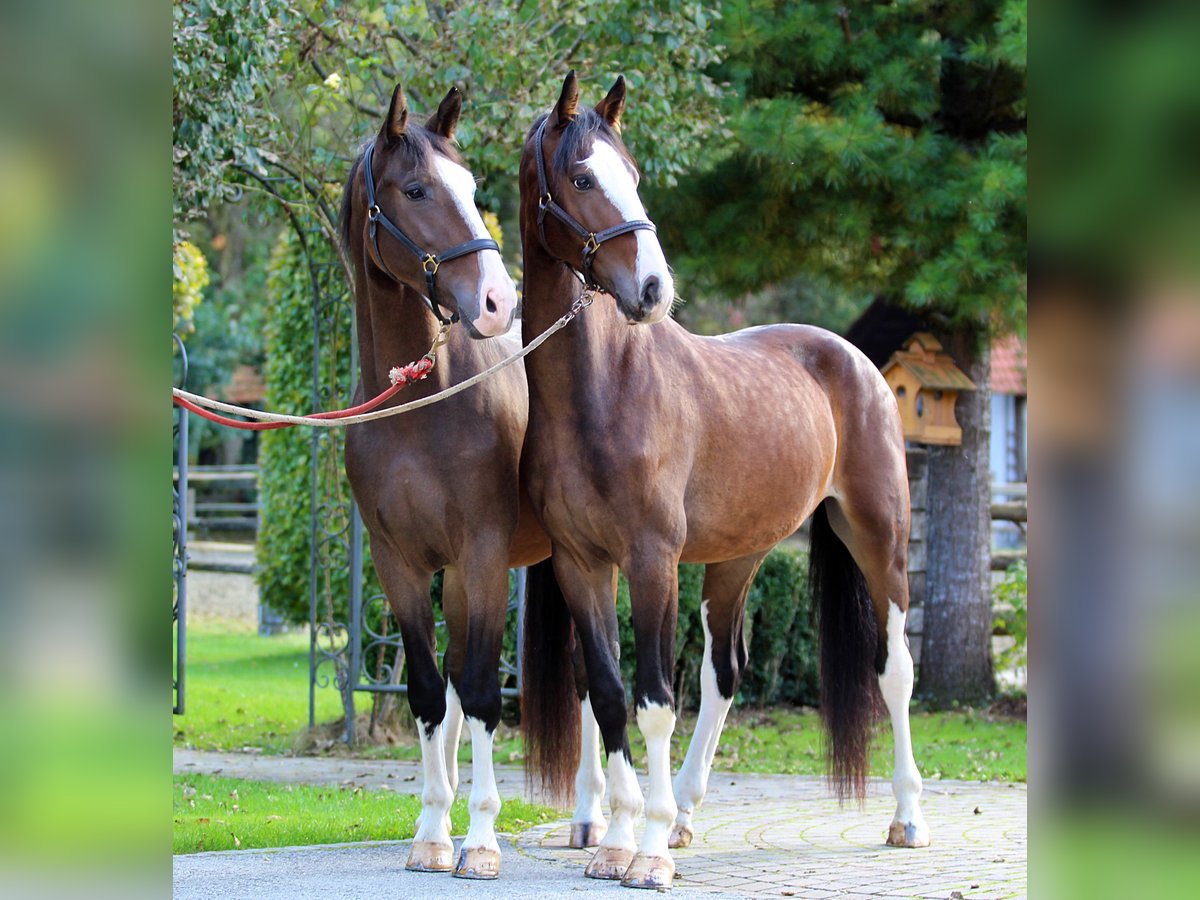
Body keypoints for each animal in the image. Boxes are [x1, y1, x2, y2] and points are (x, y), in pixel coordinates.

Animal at [339, 84, 552, 879]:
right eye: (417, 189)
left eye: (472, 187)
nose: (496, 302)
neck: (419, 408)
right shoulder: (403, 564)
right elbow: (433, 692)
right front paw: (432, 832)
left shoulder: (484, 555)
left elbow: (487, 692)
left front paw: (482, 843)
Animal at [518, 71, 930, 890]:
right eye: (580, 178)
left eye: (632, 173)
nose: (652, 288)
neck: (602, 391)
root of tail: (856, 360)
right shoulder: (582, 564)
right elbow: (608, 693)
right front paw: (619, 840)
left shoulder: (652, 562)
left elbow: (651, 702)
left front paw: (643, 854)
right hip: (738, 557)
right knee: (725, 673)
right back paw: (681, 811)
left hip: (879, 540)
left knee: (893, 671)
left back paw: (906, 817)